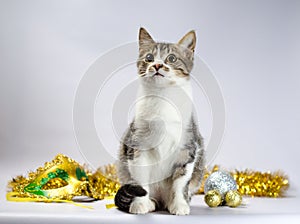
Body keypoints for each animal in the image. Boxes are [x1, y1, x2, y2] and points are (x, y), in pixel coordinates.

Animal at [113, 28, 205, 215]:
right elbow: (140, 178)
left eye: (172, 58)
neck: (163, 100)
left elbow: (181, 181)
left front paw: (179, 204)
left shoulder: (188, 147)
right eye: (149, 57)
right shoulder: (137, 144)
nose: (156, 65)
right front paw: (140, 203)